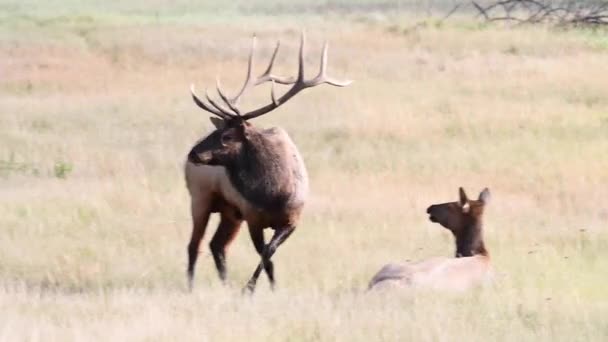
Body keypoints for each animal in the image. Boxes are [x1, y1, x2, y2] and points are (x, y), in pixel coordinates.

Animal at [184, 32, 352, 292]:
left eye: (227, 136)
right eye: (217, 131)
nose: (192, 154)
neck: (275, 194)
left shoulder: (292, 220)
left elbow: (268, 253)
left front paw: (267, 288)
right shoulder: (253, 218)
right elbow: (265, 255)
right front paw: (251, 289)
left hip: (230, 211)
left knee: (217, 245)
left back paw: (224, 284)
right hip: (200, 198)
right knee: (195, 244)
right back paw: (192, 287)